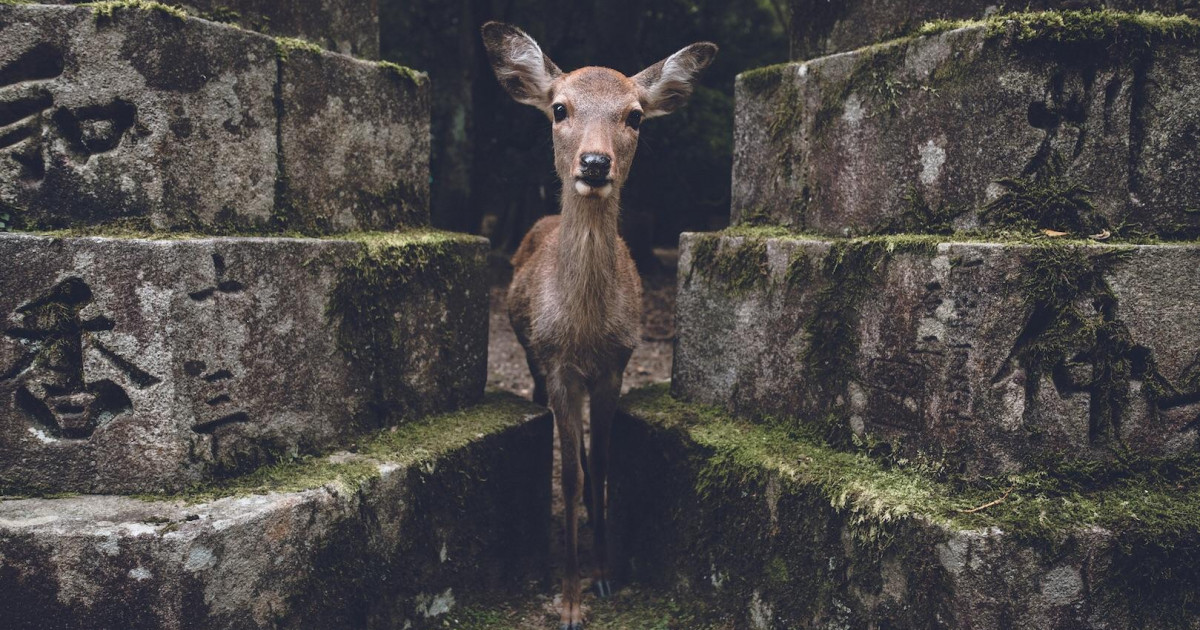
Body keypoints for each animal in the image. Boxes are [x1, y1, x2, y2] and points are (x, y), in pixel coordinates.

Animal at [481, 22, 717, 630]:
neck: (584, 330)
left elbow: (604, 464)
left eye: (634, 115)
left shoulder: (617, 364)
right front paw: (569, 600)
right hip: (530, 354)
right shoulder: (558, 365)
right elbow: (568, 472)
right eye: (559, 108)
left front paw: (606, 573)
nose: (593, 163)